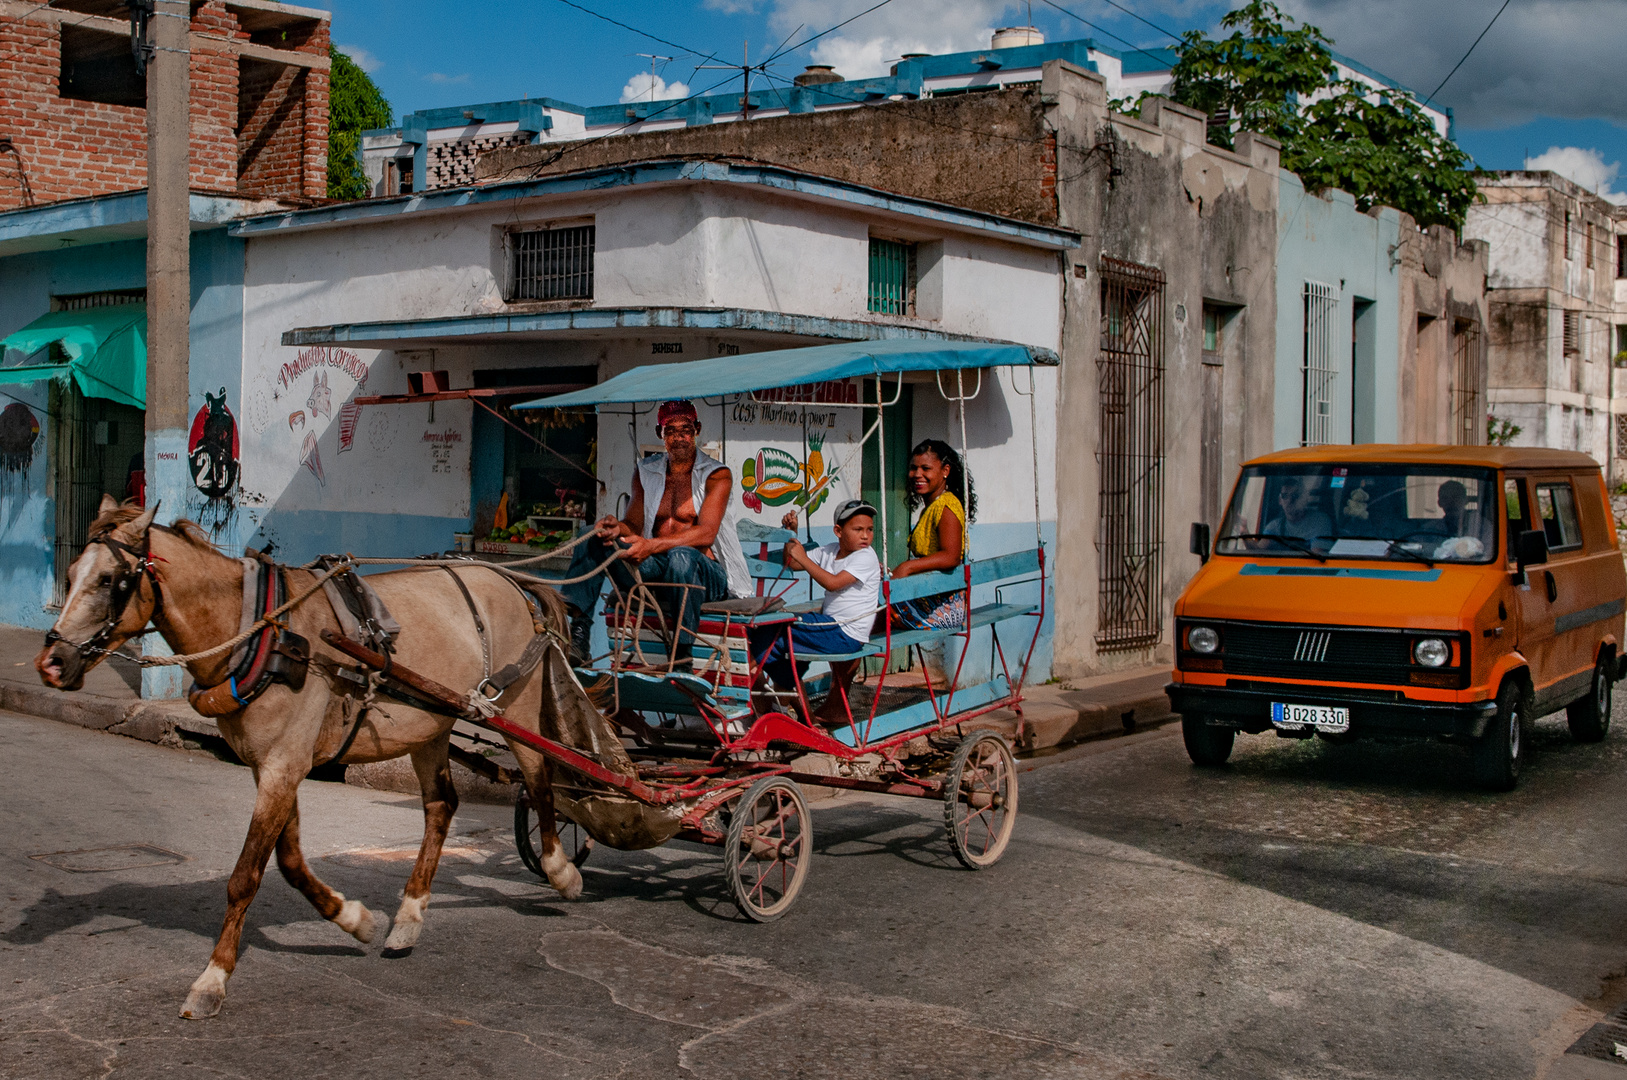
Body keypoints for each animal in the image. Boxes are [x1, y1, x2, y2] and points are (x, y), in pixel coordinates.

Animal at [34, 497, 585, 1021]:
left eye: (110, 580)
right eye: (70, 574)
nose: (52, 664)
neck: (257, 629)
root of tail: (510, 580)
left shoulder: (282, 765)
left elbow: (245, 876)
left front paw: (212, 980)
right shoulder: (276, 765)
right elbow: (290, 860)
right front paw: (352, 918)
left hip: (516, 708)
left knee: (540, 779)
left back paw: (560, 870)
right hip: (431, 721)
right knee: (441, 806)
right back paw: (406, 921)